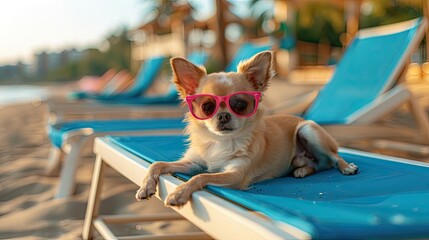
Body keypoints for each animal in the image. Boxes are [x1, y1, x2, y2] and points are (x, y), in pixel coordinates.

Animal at [136, 50, 358, 206]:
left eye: (240, 105)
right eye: (207, 107)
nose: (223, 115)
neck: (222, 141)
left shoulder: (236, 175)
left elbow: (202, 176)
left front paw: (179, 192)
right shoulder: (194, 163)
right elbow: (157, 164)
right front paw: (146, 185)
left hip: (308, 130)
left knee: (332, 158)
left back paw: (346, 166)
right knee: (320, 163)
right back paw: (302, 169)